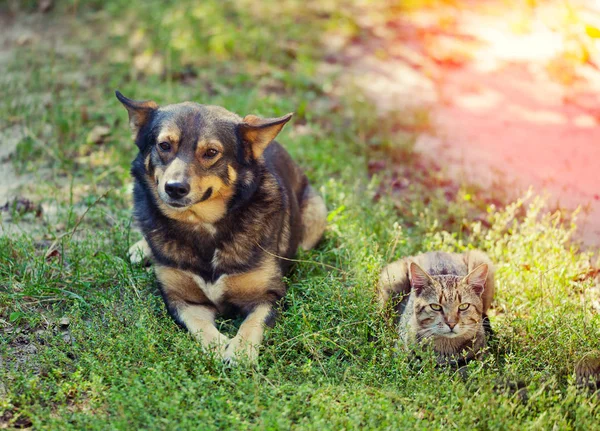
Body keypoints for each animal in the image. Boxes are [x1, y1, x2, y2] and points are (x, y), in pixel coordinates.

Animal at [115, 92, 326, 364]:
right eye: (164, 145)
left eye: (211, 152)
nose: (174, 188)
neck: (202, 225)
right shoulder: (182, 299)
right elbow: (198, 325)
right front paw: (217, 346)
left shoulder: (269, 295)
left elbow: (253, 323)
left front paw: (240, 352)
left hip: (316, 216)